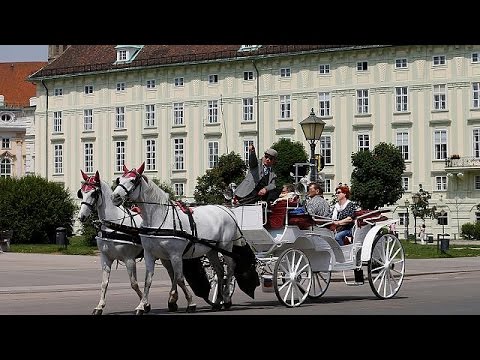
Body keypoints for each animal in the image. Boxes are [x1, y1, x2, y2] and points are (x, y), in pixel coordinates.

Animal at [77, 170, 150, 314]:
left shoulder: (129, 259)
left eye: (93, 193)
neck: (114, 225)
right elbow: (104, 283)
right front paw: (99, 306)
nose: (81, 217)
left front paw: (143, 304)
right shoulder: (105, 258)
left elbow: (134, 284)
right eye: (81, 192)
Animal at [111, 162, 244, 312]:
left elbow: (179, 278)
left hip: (225, 247)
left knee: (231, 267)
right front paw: (142, 305)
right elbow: (148, 280)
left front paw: (190, 303)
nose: (115, 197)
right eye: (119, 180)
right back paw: (218, 300)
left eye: (133, 180)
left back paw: (226, 298)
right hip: (211, 250)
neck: (158, 217)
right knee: (220, 271)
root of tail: (226, 210)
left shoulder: (175, 255)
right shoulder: (149, 254)